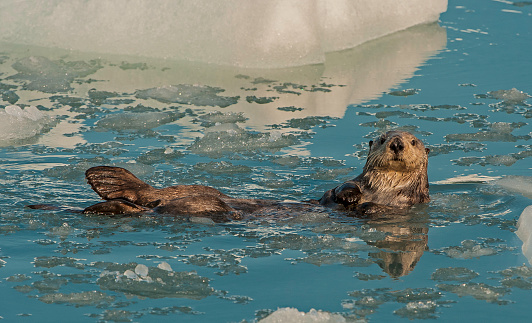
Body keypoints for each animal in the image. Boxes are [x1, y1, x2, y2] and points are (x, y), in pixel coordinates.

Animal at [77, 130, 430, 221]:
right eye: (382, 138)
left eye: (413, 141)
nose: (397, 143)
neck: (379, 188)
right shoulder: (347, 181)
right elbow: (335, 189)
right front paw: (349, 195)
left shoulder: (406, 204)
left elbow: (379, 209)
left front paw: (362, 204)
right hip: (200, 192)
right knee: (147, 193)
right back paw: (103, 177)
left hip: (209, 206)